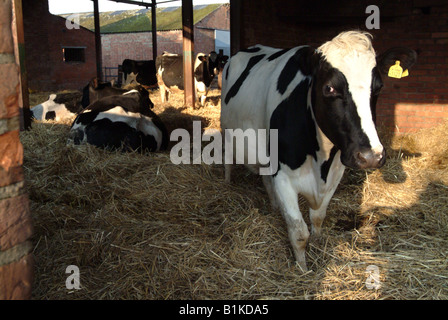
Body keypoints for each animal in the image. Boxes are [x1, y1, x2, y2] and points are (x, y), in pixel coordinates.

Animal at [220, 30, 416, 270]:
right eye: (329, 88)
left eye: (379, 87)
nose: (370, 156)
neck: (321, 162)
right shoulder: (284, 177)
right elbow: (298, 232)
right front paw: (303, 270)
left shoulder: (335, 174)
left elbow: (318, 218)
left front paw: (319, 242)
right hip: (227, 132)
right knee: (228, 160)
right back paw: (228, 182)